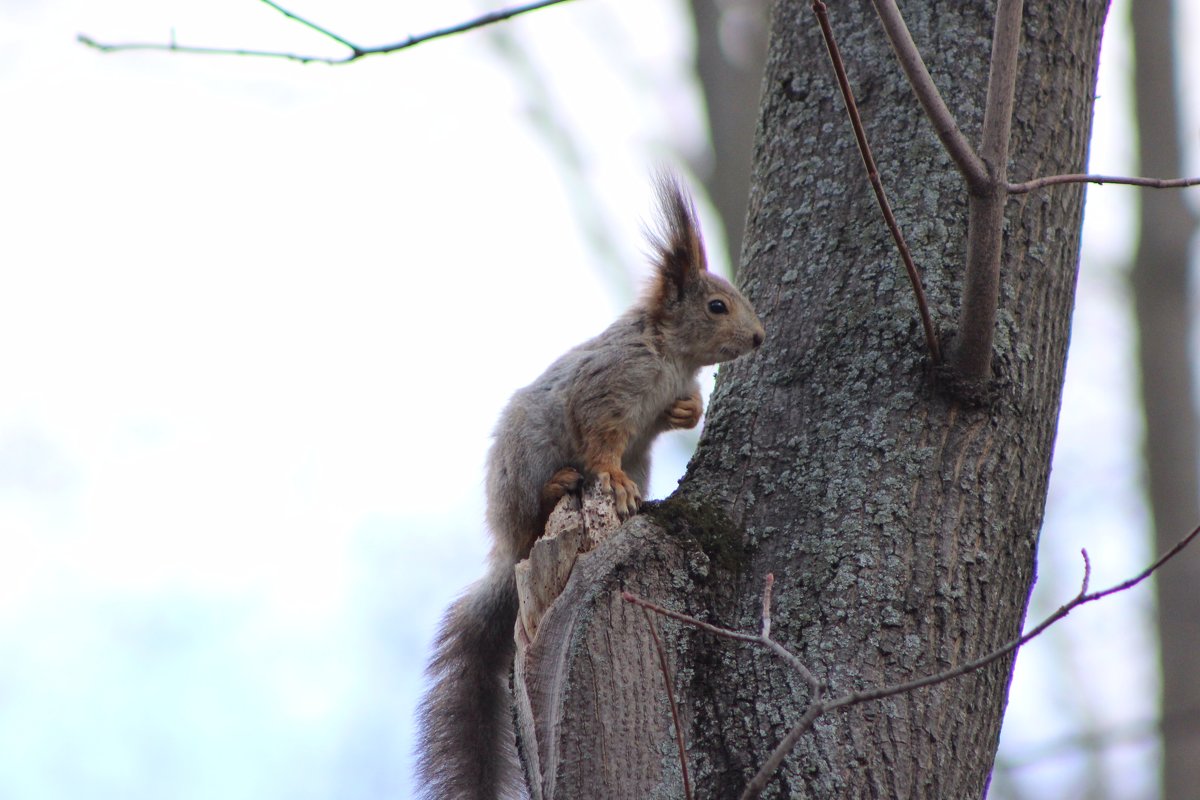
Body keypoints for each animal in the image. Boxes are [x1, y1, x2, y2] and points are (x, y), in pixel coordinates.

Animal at [417, 175, 763, 800]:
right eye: (716, 305)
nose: (758, 337)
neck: (669, 355)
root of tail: (508, 552)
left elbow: (675, 414)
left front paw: (688, 410)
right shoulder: (608, 389)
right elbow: (601, 438)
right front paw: (613, 479)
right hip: (524, 463)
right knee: (538, 507)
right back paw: (563, 485)